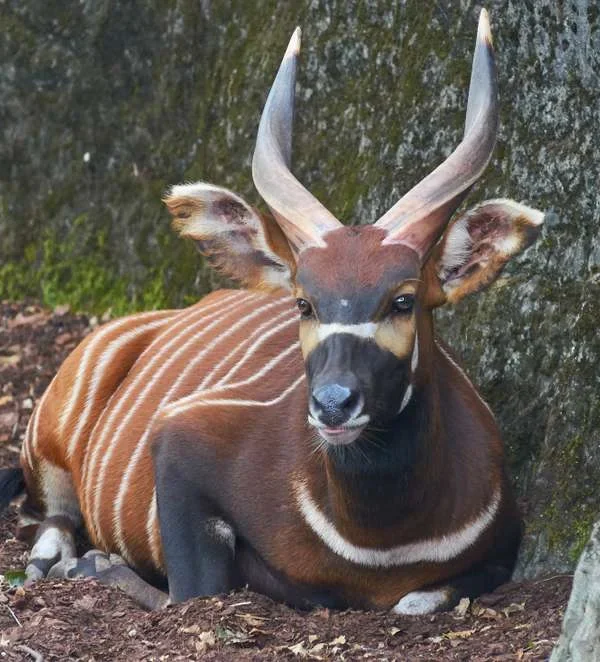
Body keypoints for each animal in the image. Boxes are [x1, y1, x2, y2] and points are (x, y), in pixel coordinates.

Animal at [0, 10, 544, 614]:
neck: (380, 545)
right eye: (304, 302)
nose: (333, 405)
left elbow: (416, 601)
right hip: (48, 437)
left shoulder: (500, 549)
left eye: (403, 300)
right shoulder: (178, 436)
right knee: (50, 520)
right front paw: (95, 564)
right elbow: (190, 591)